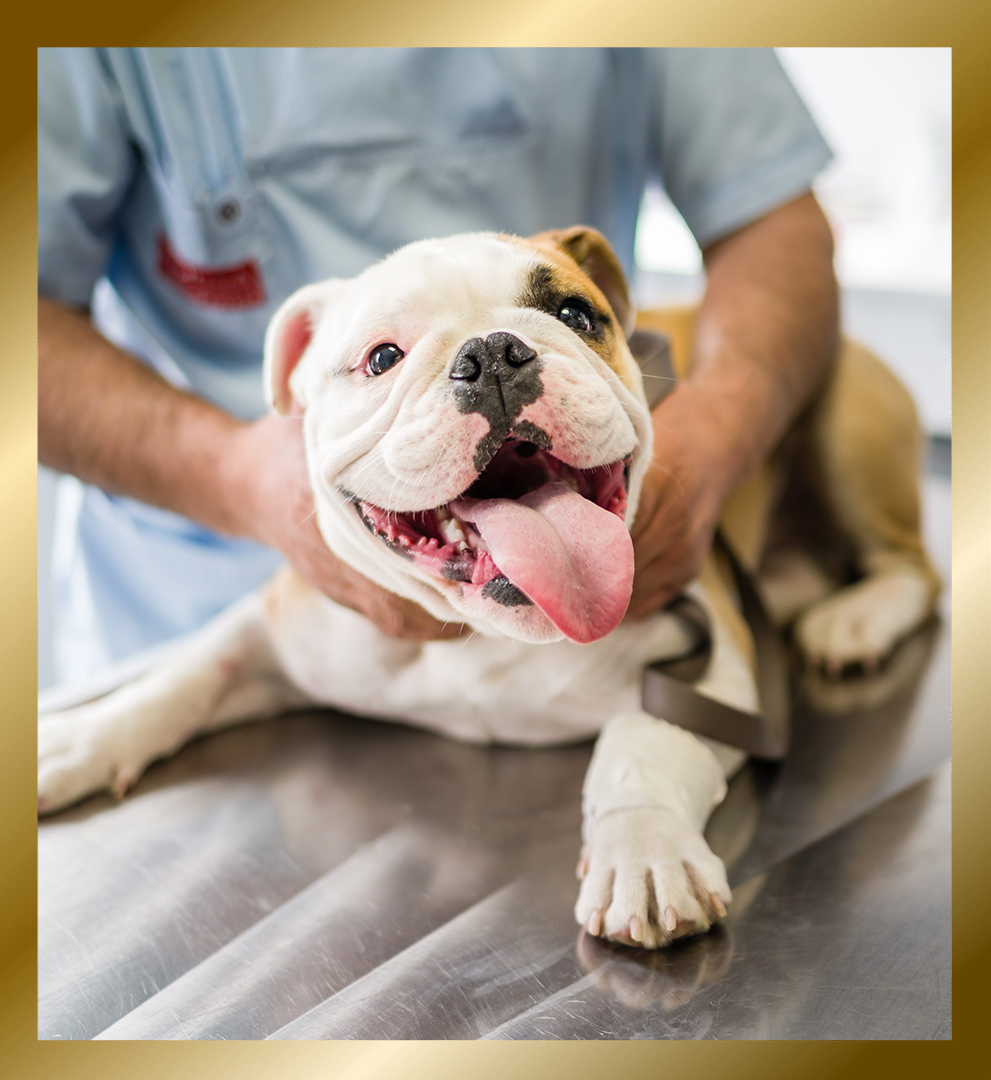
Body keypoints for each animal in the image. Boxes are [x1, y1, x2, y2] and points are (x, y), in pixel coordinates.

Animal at [34, 225, 941, 946]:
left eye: (575, 316)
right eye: (381, 358)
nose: (494, 352)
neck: (483, 630)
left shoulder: (713, 656)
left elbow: (639, 744)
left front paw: (642, 852)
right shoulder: (280, 626)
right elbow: (183, 677)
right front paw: (77, 741)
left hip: (845, 424)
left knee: (915, 568)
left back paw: (854, 622)